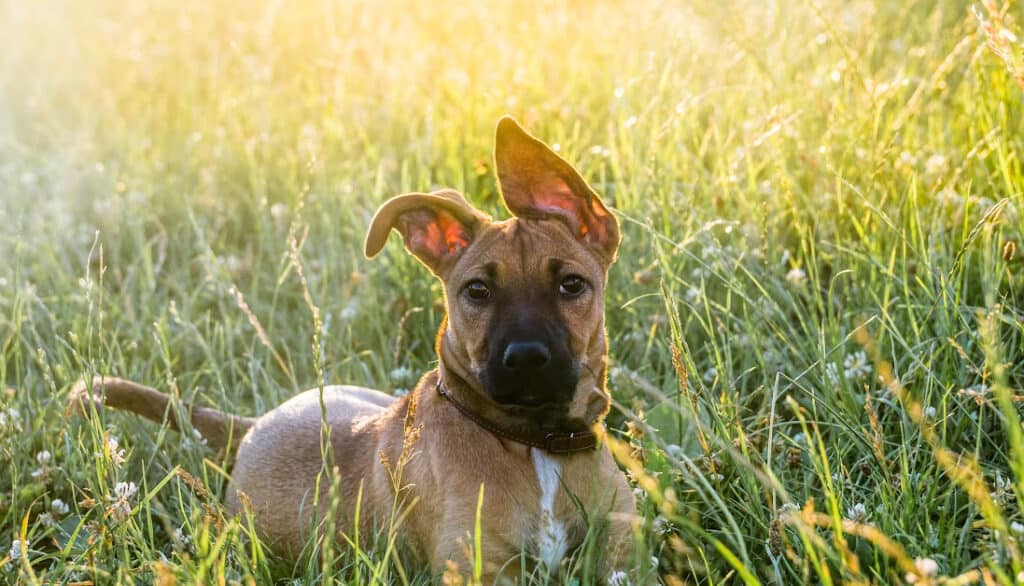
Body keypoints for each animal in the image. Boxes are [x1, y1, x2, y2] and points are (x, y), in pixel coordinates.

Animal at [72, 117, 634, 581]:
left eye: (571, 285)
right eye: (477, 291)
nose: (526, 360)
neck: (536, 445)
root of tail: (253, 426)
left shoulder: (622, 555)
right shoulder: (477, 567)